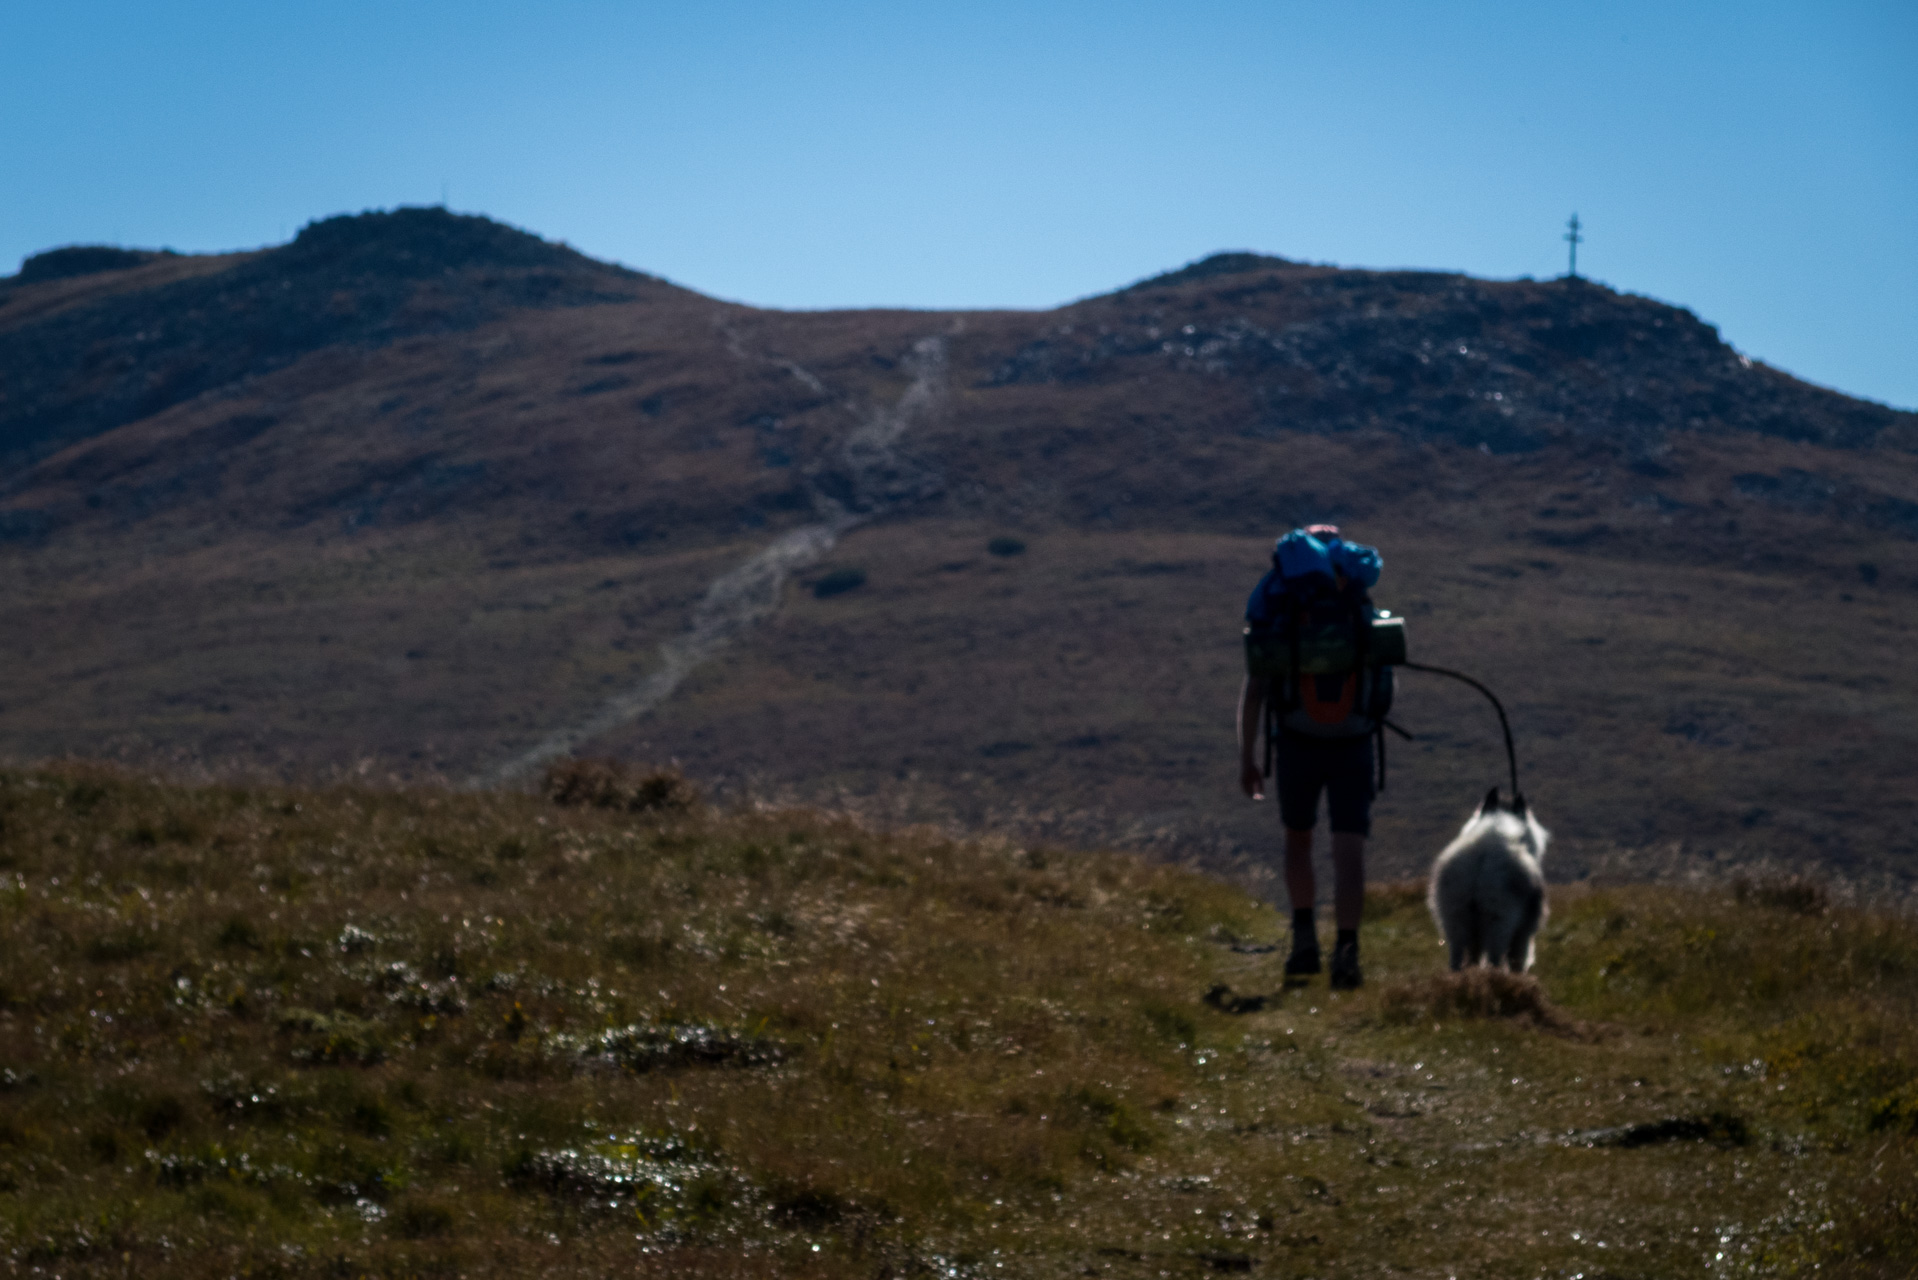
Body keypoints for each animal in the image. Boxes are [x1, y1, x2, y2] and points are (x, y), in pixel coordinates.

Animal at [1434, 786, 1549, 974]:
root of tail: (1478, 865)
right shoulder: (1524, 930)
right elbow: (1518, 959)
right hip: (1499, 920)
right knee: (1495, 958)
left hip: (1455, 920)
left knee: (1458, 959)